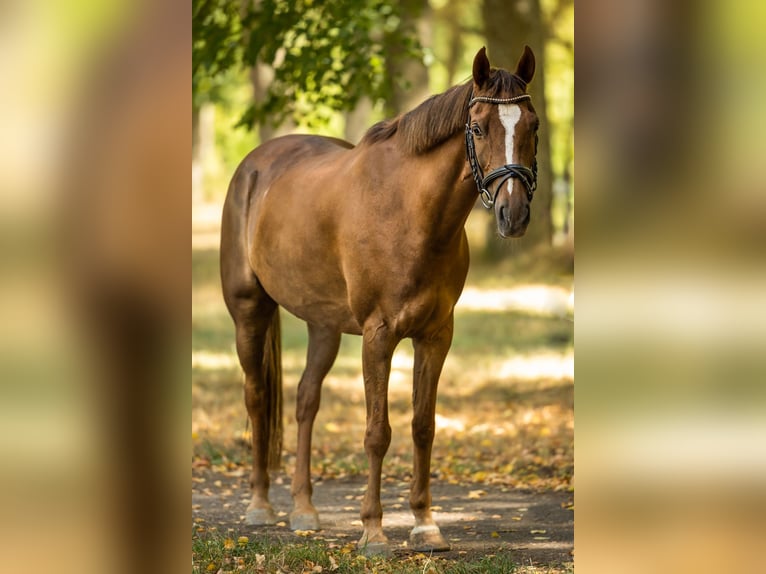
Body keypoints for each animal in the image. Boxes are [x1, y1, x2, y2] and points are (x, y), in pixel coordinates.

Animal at [222, 46, 540, 560]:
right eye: (477, 129)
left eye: (532, 125)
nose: (514, 216)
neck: (411, 212)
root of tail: (253, 165)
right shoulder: (379, 335)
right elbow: (377, 432)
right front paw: (373, 531)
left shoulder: (436, 336)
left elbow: (423, 426)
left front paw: (425, 525)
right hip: (249, 312)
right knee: (257, 398)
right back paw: (260, 506)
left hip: (324, 326)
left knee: (306, 401)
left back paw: (304, 510)